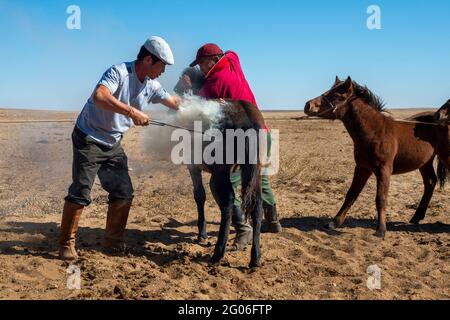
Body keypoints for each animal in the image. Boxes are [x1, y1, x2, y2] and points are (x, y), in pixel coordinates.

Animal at [304, 77, 448, 238]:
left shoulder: (383, 170)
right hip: (425, 163)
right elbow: (351, 194)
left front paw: (381, 230)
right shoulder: (362, 168)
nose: (308, 105)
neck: (375, 131)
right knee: (430, 182)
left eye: (336, 95)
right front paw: (334, 222)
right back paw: (416, 217)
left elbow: (380, 198)